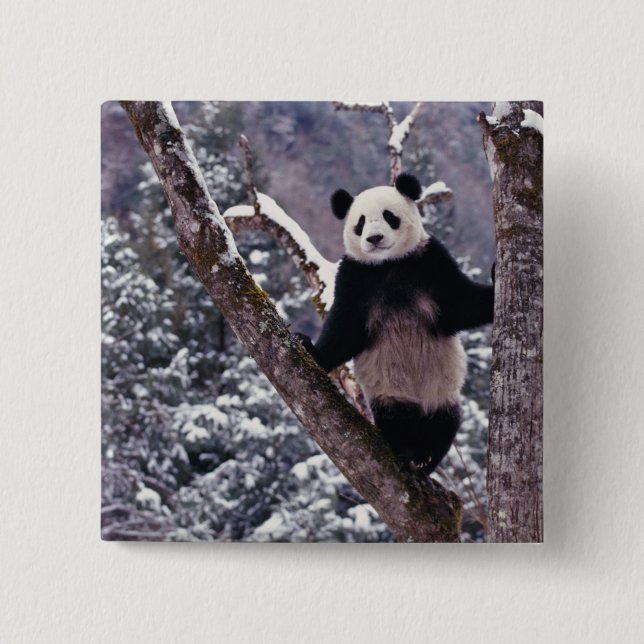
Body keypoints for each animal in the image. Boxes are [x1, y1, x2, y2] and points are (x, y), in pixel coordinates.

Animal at [298, 173, 494, 473]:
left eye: (389, 216)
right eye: (361, 223)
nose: (375, 238)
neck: (388, 264)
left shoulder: (429, 261)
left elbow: (462, 304)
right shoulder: (355, 277)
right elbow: (344, 329)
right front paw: (310, 348)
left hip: (440, 388)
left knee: (444, 421)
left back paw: (425, 456)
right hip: (388, 387)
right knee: (396, 417)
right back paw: (408, 449)